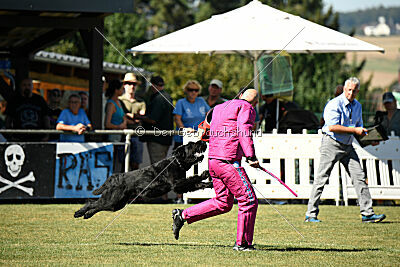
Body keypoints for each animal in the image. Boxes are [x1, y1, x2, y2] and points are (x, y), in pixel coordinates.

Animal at [75, 140, 212, 220]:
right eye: (191, 145)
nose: (202, 142)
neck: (177, 162)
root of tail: (113, 179)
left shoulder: (181, 186)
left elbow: (197, 184)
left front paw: (209, 183)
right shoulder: (177, 184)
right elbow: (193, 178)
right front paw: (205, 174)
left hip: (117, 204)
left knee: (97, 205)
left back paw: (86, 214)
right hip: (112, 200)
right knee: (92, 203)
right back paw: (79, 213)